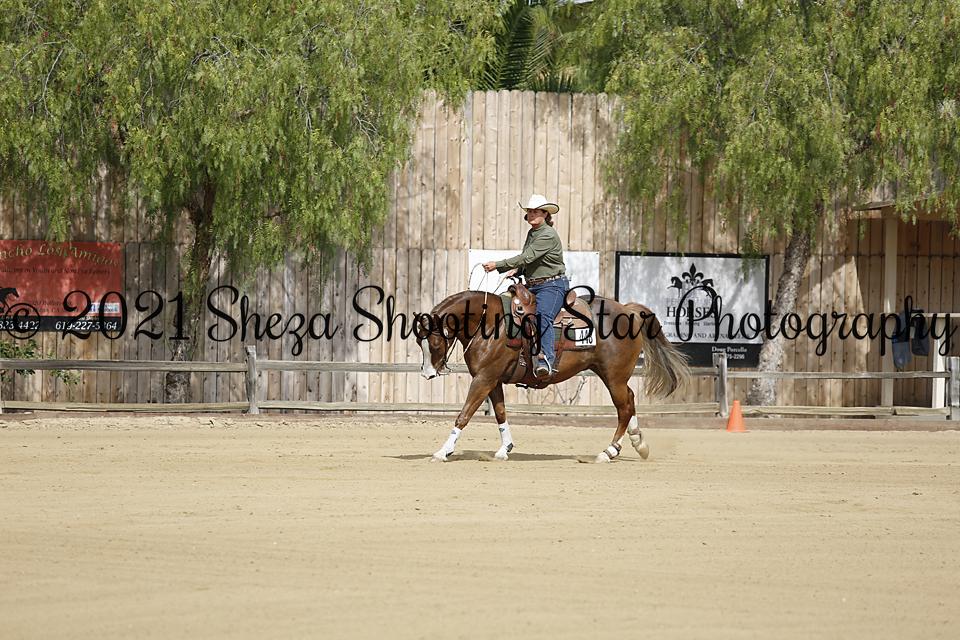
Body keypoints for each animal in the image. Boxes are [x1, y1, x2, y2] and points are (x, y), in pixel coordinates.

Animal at [415, 288, 691, 463]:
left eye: (435, 344)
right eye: (420, 342)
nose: (427, 374)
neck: (492, 323)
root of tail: (628, 310)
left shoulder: (483, 379)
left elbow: (463, 415)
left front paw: (443, 452)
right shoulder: (492, 380)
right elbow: (500, 413)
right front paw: (504, 449)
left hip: (614, 377)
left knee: (623, 408)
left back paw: (608, 452)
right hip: (610, 375)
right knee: (630, 400)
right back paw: (638, 443)